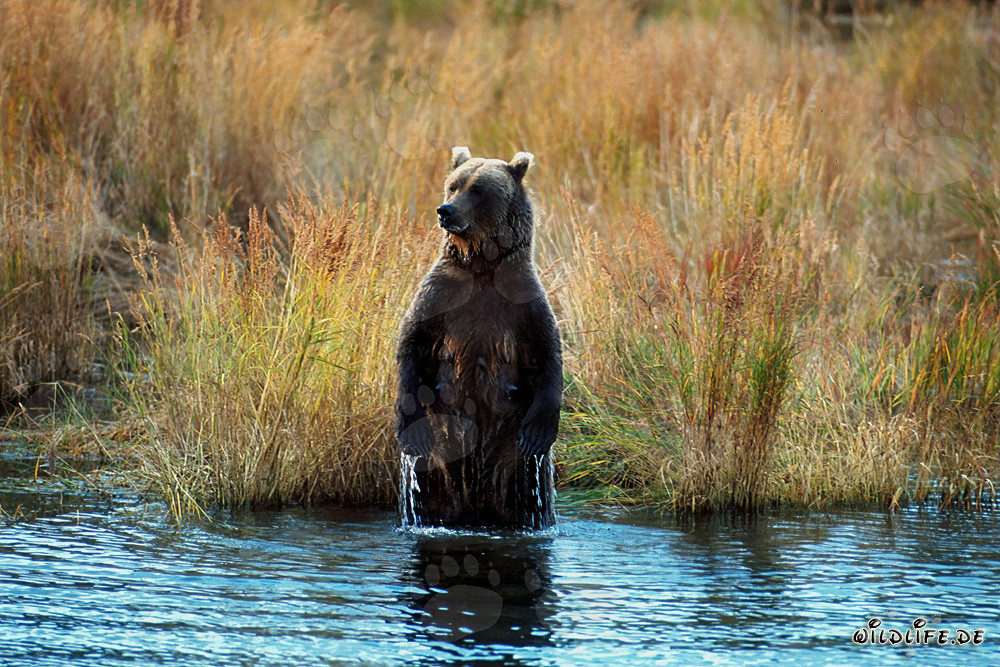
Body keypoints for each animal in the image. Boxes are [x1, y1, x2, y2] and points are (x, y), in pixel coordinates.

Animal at [395, 146, 562, 530]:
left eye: (478, 190)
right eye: (453, 185)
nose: (445, 210)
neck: (482, 266)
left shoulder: (522, 299)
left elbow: (548, 351)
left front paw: (540, 430)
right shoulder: (441, 295)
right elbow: (412, 344)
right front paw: (411, 431)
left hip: (510, 448)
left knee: (524, 493)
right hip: (443, 442)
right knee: (433, 488)